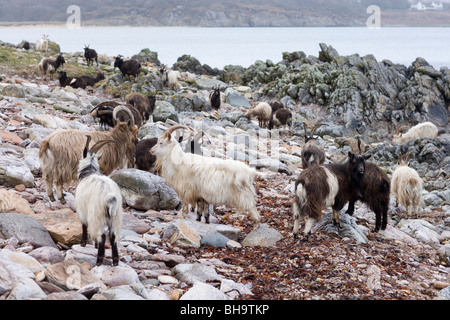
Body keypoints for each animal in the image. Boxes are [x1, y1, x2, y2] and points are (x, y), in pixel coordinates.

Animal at [74, 136, 123, 266]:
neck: (88, 173)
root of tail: (110, 197)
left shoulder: (82, 211)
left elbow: (84, 226)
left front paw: (83, 243)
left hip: (98, 215)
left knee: (102, 235)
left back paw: (99, 260)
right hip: (115, 218)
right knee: (113, 237)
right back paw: (115, 261)